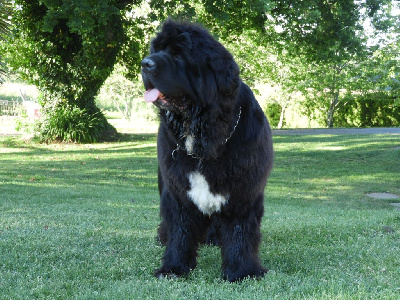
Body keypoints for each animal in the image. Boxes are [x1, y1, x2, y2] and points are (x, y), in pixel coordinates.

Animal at [139, 19, 274, 282]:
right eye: (156, 50)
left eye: (179, 54)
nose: (145, 63)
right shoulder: (177, 191)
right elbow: (180, 231)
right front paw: (174, 267)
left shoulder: (244, 191)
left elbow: (240, 232)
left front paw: (241, 272)